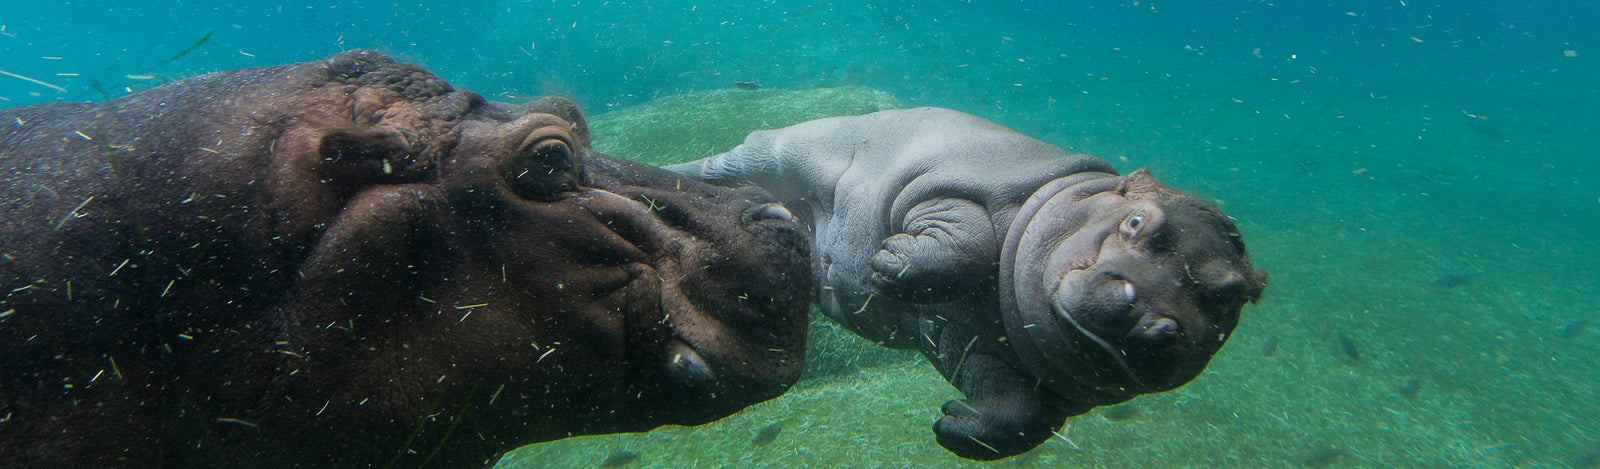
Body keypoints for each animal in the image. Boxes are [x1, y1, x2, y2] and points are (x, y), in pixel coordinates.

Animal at [669, 107, 1267, 460]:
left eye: (1233, 295)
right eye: (1139, 222)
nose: (1150, 318)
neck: (1070, 197)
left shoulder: (991, 356)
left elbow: (1022, 417)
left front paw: (950, 425)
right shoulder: (963, 183)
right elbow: (969, 237)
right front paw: (889, 262)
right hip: (779, 149)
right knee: (720, 165)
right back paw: (664, 173)